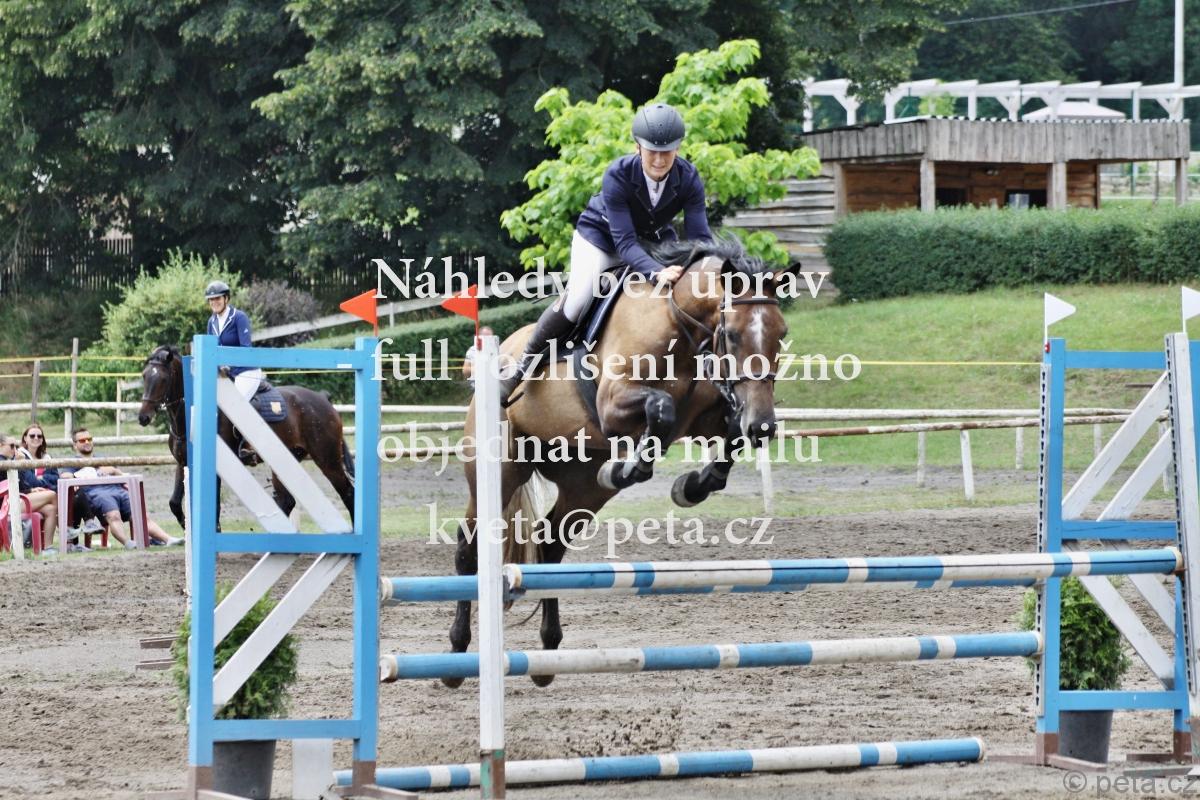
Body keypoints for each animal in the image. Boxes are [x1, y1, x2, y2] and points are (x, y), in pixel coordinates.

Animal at [137, 345, 356, 528]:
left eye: (163, 379)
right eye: (144, 376)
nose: (143, 417)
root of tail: (323, 399)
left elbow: (214, 505)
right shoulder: (182, 462)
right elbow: (174, 502)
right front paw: (185, 524)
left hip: (327, 460)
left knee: (347, 492)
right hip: (286, 461)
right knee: (287, 501)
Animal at [446, 236, 795, 688]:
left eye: (781, 334)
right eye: (732, 335)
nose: (764, 426)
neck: (678, 327)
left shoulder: (708, 418)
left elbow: (727, 434)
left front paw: (691, 486)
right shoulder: (614, 405)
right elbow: (661, 409)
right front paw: (627, 469)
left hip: (581, 488)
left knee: (549, 543)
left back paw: (547, 655)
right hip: (500, 469)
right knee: (470, 546)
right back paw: (456, 655)